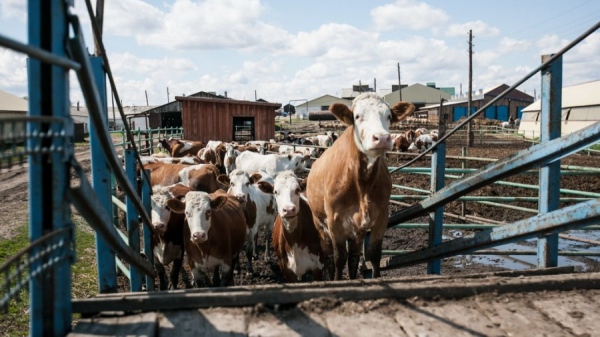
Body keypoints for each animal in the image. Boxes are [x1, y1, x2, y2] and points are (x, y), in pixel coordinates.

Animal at [308, 92, 414, 278]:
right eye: (357, 116)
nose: (382, 138)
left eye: (389, 116)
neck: (362, 183)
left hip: (356, 230)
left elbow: (374, 254)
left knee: (354, 257)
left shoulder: (381, 218)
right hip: (320, 222)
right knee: (328, 252)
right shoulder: (335, 222)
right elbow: (339, 257)